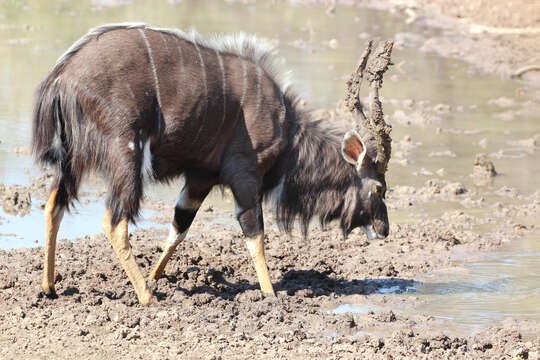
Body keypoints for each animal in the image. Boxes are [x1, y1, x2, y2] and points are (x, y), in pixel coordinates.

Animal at [32, 23, 392, 304]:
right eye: (379, 188)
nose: (384, 230)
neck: (287, 127)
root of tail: (61, 78)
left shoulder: (201, 176)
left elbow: (180, 225)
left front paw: (156, 276)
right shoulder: (245, 175)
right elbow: (255, 234)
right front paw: (271, 295)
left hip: (72, 158)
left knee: (54, 204)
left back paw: (49, 287)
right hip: (126, 153)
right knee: (114, 220)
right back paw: (148, 299)